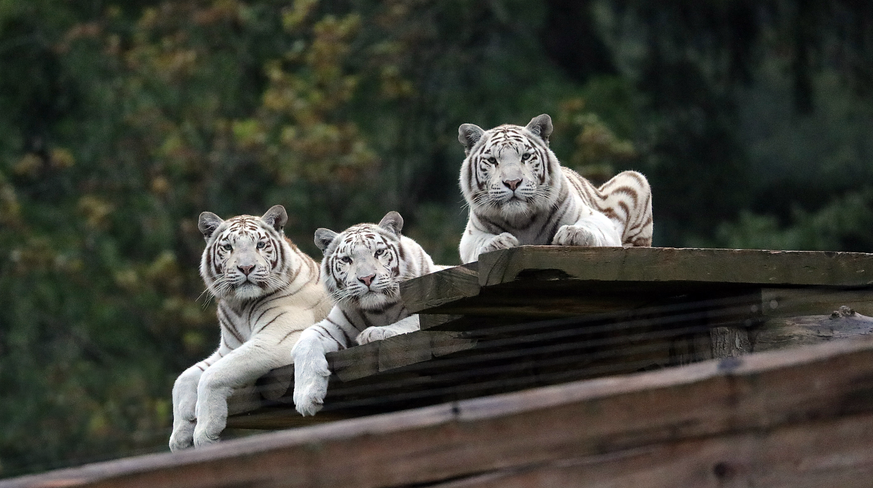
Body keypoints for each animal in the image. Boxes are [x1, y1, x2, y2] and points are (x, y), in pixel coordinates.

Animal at [169, 205, 330, 450]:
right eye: (228, 247)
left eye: (260, 245)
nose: (246, 267)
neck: (240, 305)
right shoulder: (227, 349)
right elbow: (184, 377)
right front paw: (180, 433)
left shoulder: (273, 341)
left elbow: (211, 376)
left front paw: (204, 431)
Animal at [292, 210, 440, 416]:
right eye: (347, 259)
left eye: (378, 252)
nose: (367, 278)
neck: (379, 309)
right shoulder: (333, 325)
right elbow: (306, 340)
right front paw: (306, 397)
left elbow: (413, 320)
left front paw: (375, 332)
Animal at [456, 113, 656, 264]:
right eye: (492, 160)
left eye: (525, 156)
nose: (513, 182)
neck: (521, 221)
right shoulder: (470, 236)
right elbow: (481, 241)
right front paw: (498, 242)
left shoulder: (598, 219)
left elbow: (591, 226)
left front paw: (574, 233)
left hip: (634, 178)